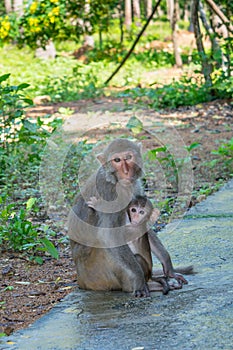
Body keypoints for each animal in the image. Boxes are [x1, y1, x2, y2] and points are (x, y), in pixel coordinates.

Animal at [68, 138, 192, 296]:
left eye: (128, 157)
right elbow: (109, 236)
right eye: (117, 160)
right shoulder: (108, 192)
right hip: (96, 275)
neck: (117, 182)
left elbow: (144, 221)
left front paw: (168, 267)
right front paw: (140, 280)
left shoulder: (135, 187)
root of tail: (80, 279)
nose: (126, 171)